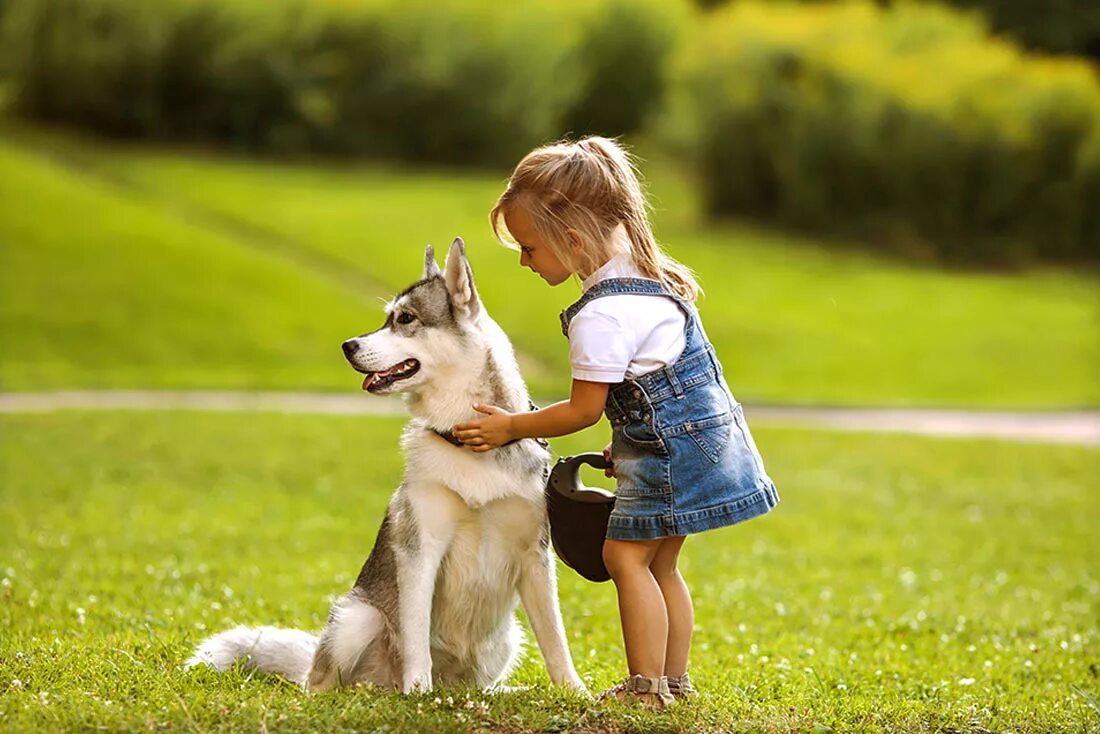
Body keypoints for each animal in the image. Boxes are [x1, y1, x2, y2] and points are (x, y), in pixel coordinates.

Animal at [189, 239, 585, 695]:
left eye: (405, 318)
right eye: (386, 318)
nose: (347, 345)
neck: (467, 442)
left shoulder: (535, 557)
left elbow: (555, 640)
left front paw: (575, 691)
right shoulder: (420, 549)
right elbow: (416, 637)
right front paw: (419, 693)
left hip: (504, 640)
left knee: (478, 686)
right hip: (357, 619)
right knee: (320, 682)